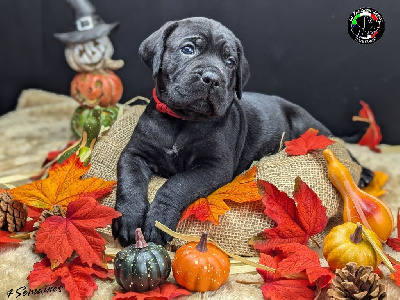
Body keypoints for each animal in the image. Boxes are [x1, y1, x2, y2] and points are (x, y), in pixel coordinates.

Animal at [112, 17, 372, 246]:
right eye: (188, 49)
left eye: (230, 62)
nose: (212, 78)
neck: (183, 120)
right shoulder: (134, 154)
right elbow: (130, 182)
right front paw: (129, 219)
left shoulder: (213, 167)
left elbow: (176, 185)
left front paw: (158, 221)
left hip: (309, 126)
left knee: (342, 149)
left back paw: (366, 173)